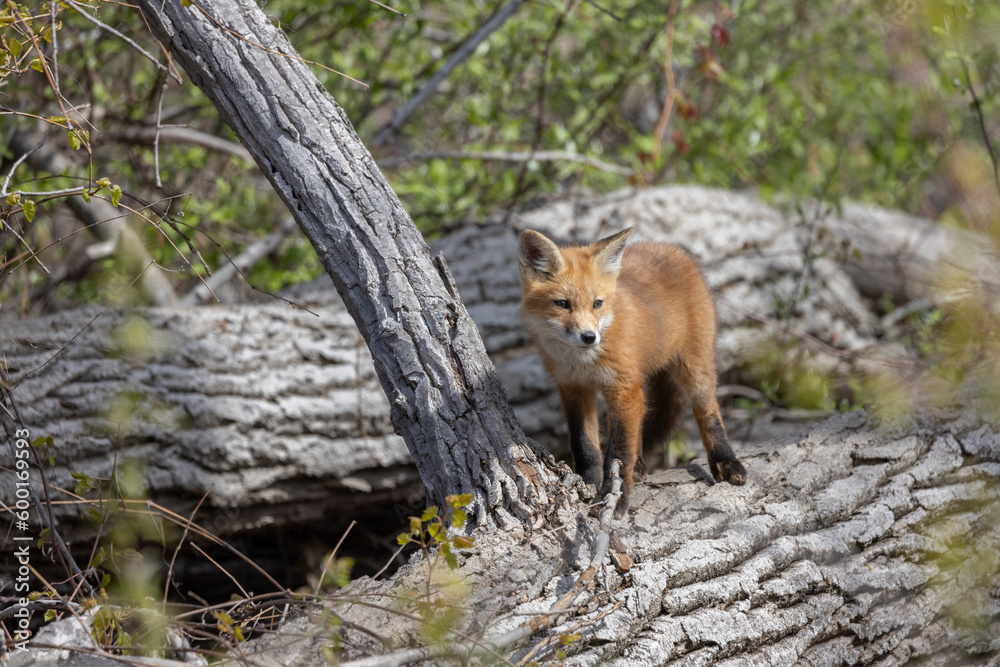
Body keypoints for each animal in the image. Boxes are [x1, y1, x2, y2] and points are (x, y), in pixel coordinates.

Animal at [517, 226, 746, 517]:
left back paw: (726, 460)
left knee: (708, 412)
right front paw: (588, 483)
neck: (582, 362)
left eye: (597, 304)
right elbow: (585, 444)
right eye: (562, 304)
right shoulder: (573, 388)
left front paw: (613, 497)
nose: (589, 337)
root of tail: (670, 247)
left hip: (695, 368)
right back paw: (638, 466)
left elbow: (618, 450)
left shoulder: (623, 386)